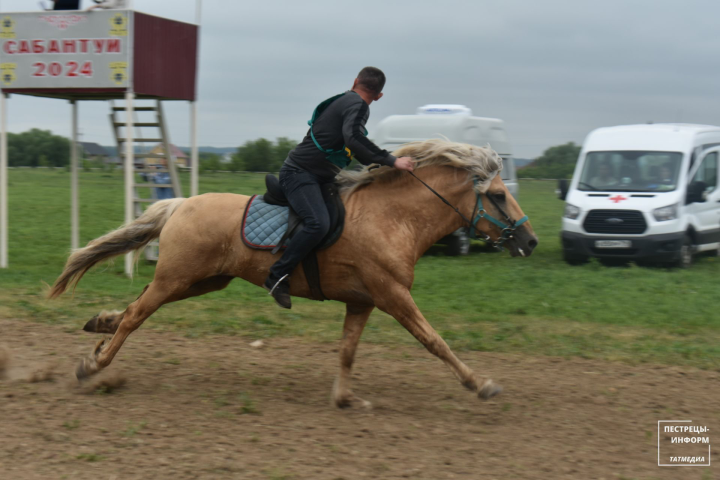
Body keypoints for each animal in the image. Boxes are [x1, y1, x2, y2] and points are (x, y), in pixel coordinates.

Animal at [49, 140, 536, 408]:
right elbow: (435, 341)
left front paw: (344, 398)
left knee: (134, 307)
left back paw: (100, 325)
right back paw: (94, 364)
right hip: (179, 277)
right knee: (136, 315)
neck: (391, 217)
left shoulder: (362, 301)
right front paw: (481, 384)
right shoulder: (393, 295)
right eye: (496, 196)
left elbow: (347, 352)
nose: (529, 241)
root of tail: (180, 203)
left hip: (200, 281)